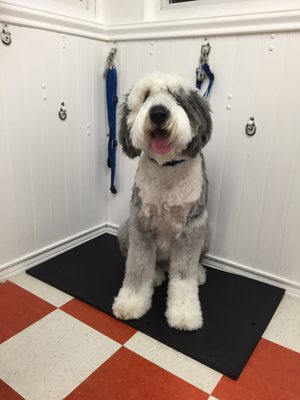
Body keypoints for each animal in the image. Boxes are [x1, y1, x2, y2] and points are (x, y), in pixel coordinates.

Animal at [111, 72, 212, 332]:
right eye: (146, 96)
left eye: (176, 96)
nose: (158, 113)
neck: (167, 167)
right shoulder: (140, 223)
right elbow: (137, 268)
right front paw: (131, 303)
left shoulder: (192, 228)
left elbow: (184, 278)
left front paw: (184, 314)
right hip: (124, 229)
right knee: (151, 264)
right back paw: (156, 275)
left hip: (206, 234)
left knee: (186, 267)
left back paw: (198, 273)